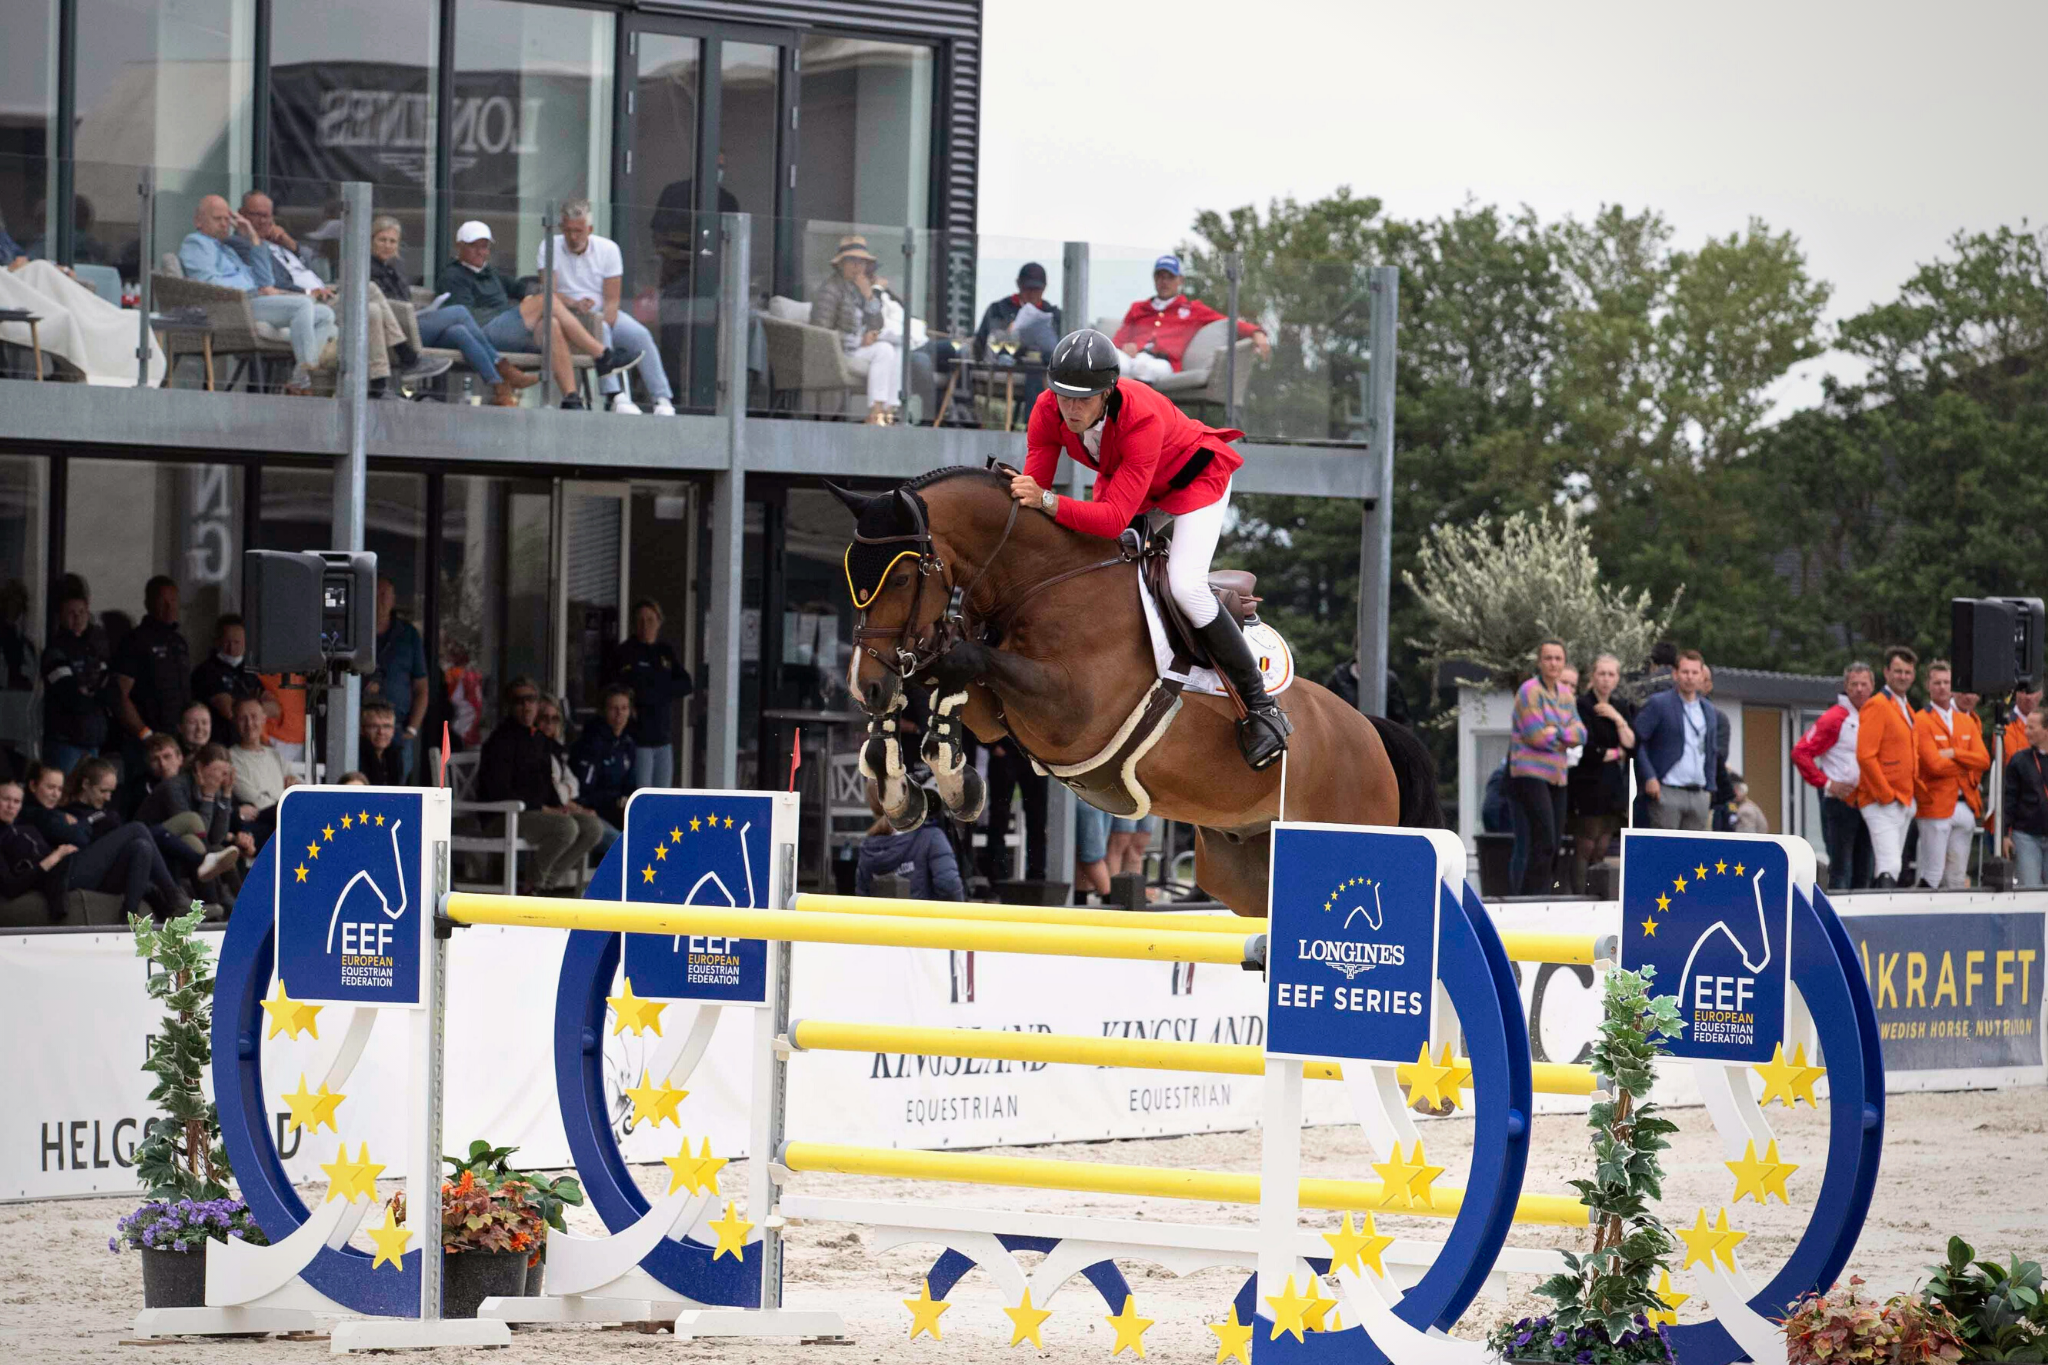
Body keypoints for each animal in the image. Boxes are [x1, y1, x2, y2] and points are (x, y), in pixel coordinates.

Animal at [828, 465, 1441, 917]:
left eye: (900, 578)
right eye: (852, 575)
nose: (864, 684)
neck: (1043, 580)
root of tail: (1370, 731)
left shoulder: (1069, 710)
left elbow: (961, 661)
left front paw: (949, 784)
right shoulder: (995, 713)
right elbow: (941, 683)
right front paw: (904, 782)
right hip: (1240, 870)